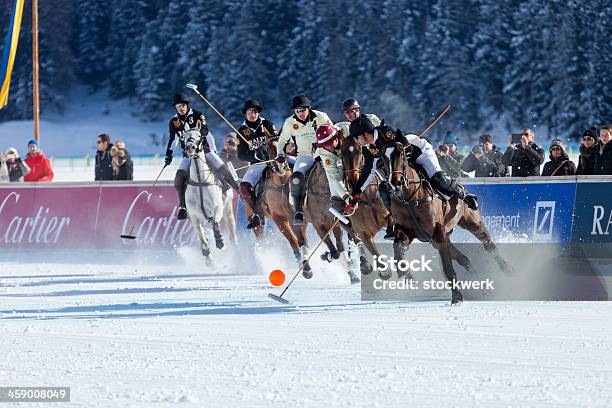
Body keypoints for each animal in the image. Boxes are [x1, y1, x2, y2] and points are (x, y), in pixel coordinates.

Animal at [184, 129, 227, 260]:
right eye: (184, 137)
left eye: (199, 136)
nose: (190, 147)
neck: (200, 181)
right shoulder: (194, 216)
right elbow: (201, 235)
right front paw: (206, 251)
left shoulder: (218, 208)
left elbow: (215, 224)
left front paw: (220, 242)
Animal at [390, 142, 510, 304]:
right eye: (384, 159)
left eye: (402, 156)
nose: (395, 182)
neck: (410, 198)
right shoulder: (408, 230)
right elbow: (398, 249)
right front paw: (406, 274)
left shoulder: (437, 231)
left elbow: (448, 268)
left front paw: (457, 297)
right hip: (442, 237)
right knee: (464, 259)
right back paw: (482, 287)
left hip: (472, 222)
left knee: (488, 245)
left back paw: (508, 270)